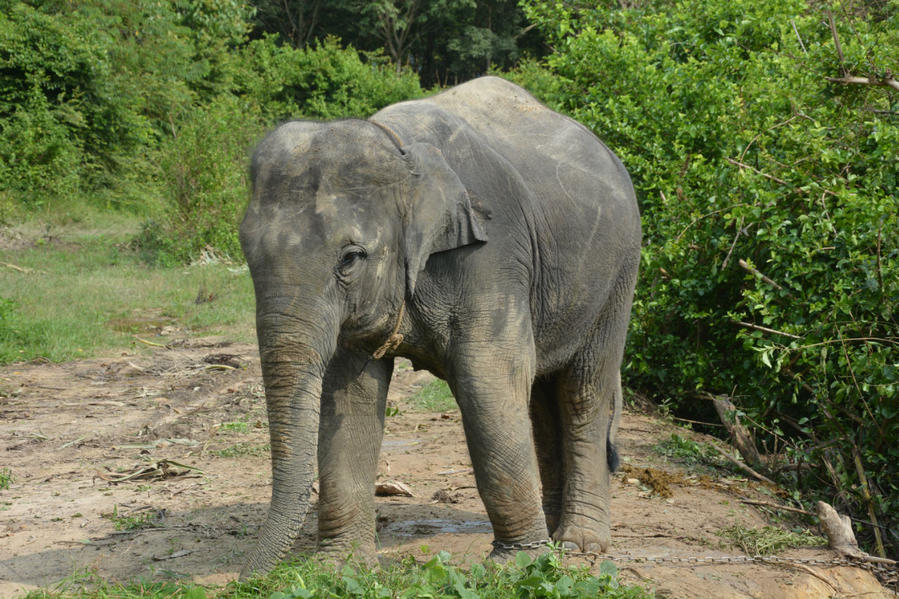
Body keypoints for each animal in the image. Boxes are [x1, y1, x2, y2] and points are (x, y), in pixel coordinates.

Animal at [239, 77, 644, 580]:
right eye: (247, 252)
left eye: (350, 258)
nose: (245, 582)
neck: (399, 149)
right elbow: (348, 394)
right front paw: (339, 569)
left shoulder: (493, 253)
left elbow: (487, 379)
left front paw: (514, 567)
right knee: (542, 398)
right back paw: (552, 534)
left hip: (619, 275)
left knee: (583, 390)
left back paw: (578, 545)